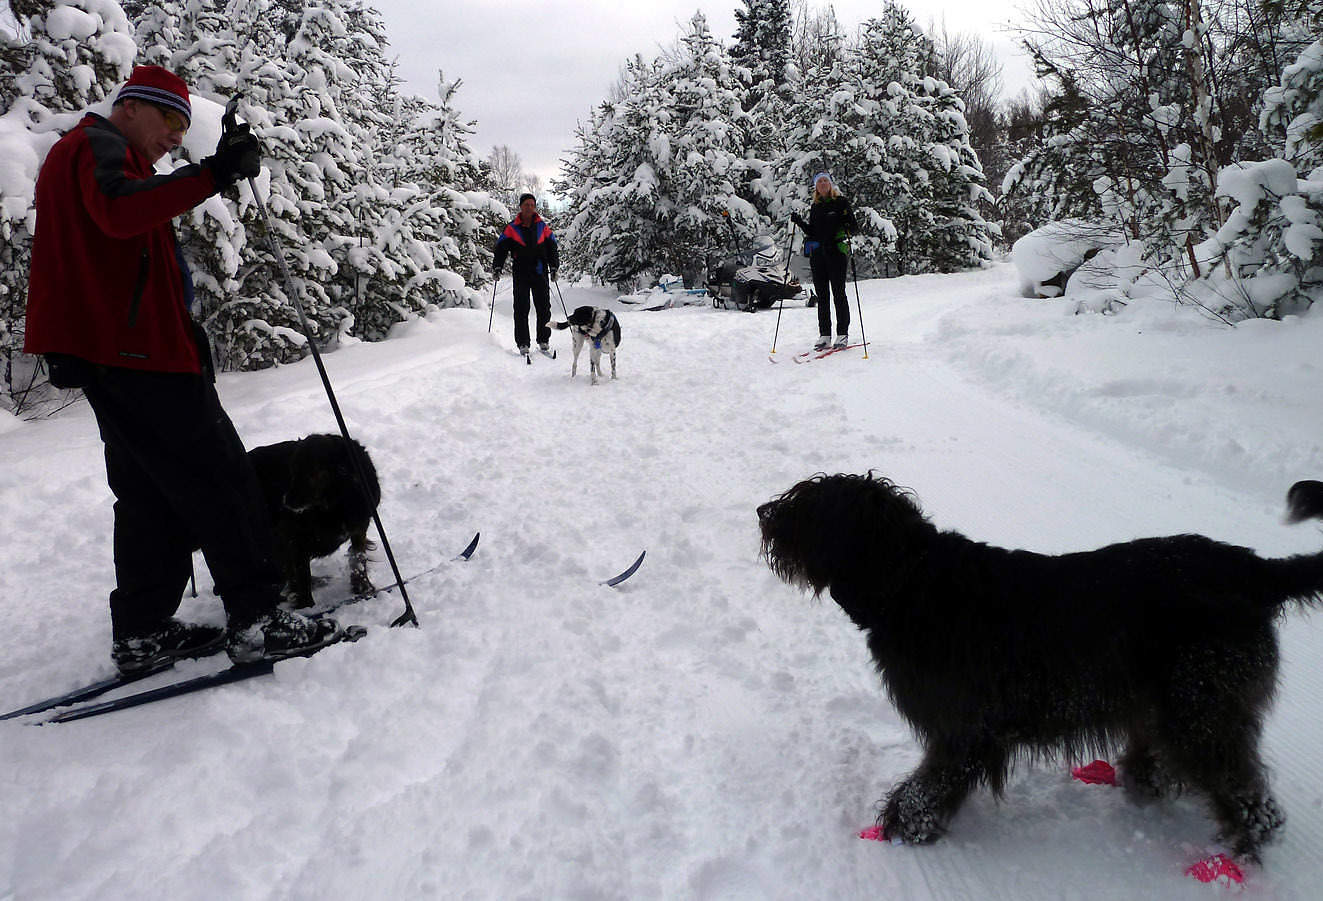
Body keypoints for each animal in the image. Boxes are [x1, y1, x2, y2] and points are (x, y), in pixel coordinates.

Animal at [246, 434, 381, 608]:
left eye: (310, 473)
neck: (334, 503)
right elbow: (302, 575)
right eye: (292, 471)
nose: (286, 502)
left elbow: (358, 559)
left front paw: (363, 589)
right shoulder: (294, 538)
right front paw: (306, 607)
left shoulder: (359, 527)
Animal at [757, 472, 1323, 863]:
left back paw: (1241, 847)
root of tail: (1253, 568)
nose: (763, 512)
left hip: (1201, 704)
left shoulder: (963, 728)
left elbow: (929, 784)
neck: (909, 581)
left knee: (1248, 794)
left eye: (813, 505)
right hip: (1171, 703)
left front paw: (906, 826)